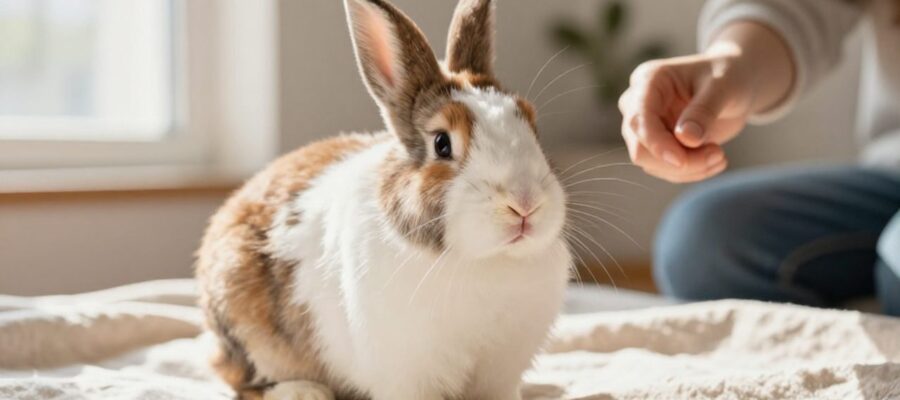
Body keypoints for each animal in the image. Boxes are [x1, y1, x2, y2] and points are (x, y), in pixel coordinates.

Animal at [195, 0, 572, 399]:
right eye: (442, 143)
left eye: (532, 123)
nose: (525, 204)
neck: (487, 260)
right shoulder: (408, 374)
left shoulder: (498, 375)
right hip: (246, 323)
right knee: (240, 379)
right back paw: (303, 391)